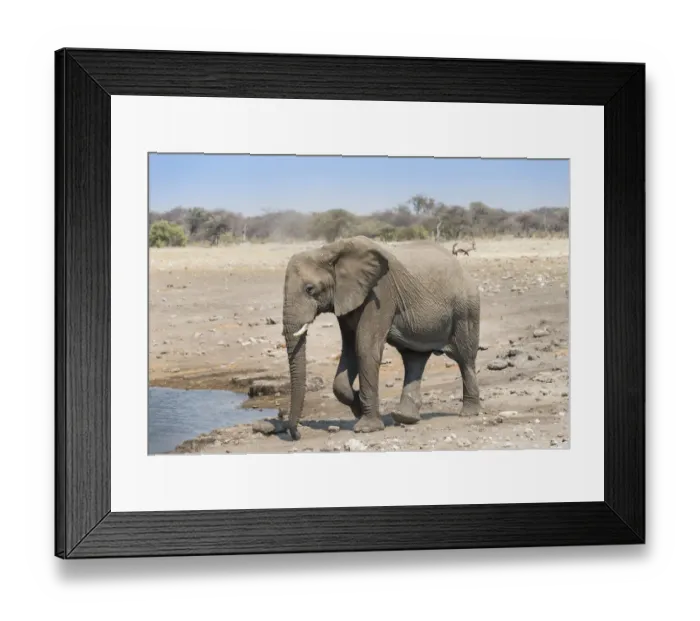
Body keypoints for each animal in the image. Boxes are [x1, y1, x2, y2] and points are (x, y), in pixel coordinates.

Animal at [282, 235, 481, 441]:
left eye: (309, 289)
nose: (296, 434)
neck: (329, 250)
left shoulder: (380, 293)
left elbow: (364, 347)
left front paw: (366, 427)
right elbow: (350, 349)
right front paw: (357, 408)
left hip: (466, 309)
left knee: (465, 358)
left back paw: (468, 413)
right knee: (414, 359)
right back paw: (405, 417)